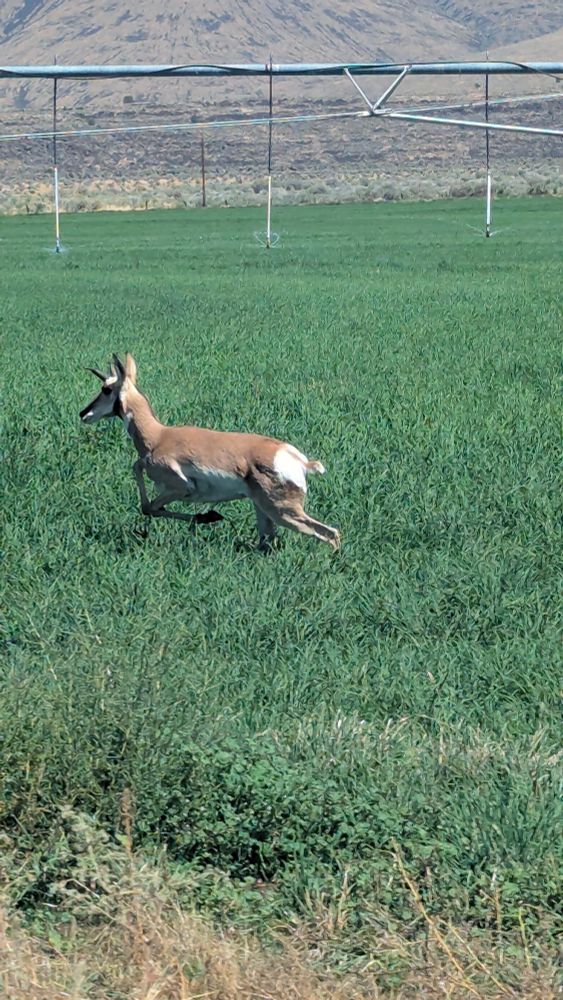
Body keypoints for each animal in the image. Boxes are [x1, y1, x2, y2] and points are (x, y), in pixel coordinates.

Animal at [80, 354, 340, 551]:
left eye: (106, 388)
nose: (84, 413)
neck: (158, 436)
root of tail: (300, 460)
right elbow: (139, 474)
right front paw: (209, 516)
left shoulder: (181, 487)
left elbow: (149, 505)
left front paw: (209, 516)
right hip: (264, 511)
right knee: (268, 543)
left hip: (282, 512)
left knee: (330, 533)